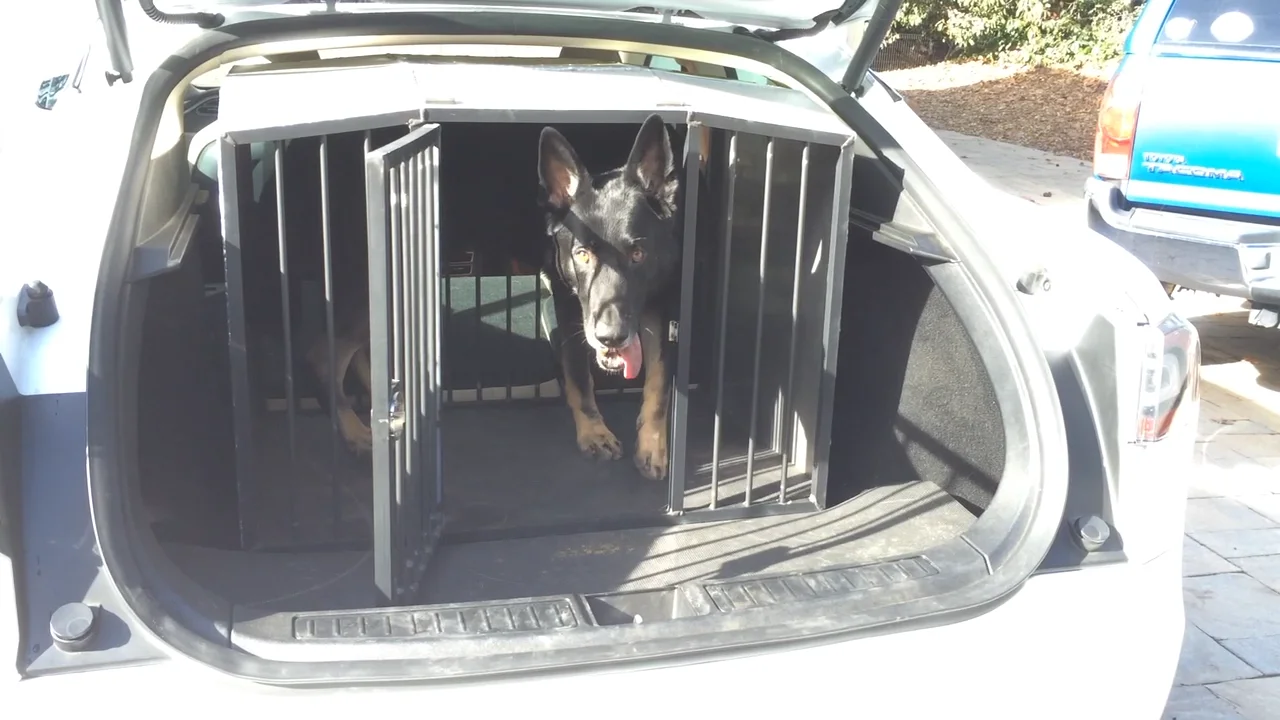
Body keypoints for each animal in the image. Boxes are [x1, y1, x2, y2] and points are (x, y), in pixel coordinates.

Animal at [537, 113, 686, 481]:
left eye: (638, 254)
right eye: (582, 254)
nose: (612, 338)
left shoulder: (663, 305)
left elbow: (660, 378)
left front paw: (652, 443)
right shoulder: (568, 303)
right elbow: (578, 375)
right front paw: (594, 433)